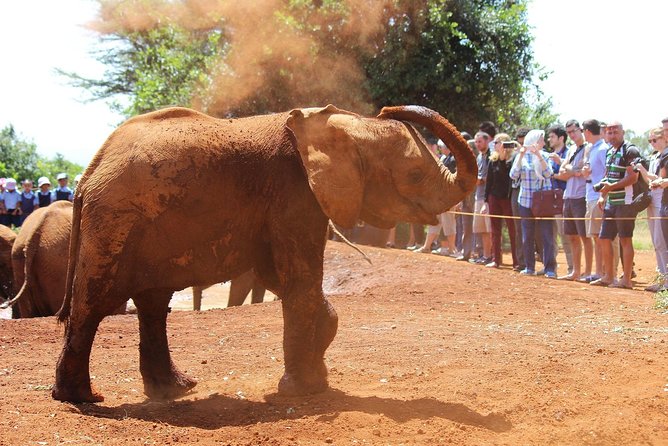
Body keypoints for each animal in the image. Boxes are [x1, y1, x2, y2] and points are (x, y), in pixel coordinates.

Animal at [52, 104, 476, 403]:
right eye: (415, 176)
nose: (389, 108)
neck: (344, 126)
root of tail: (88, 173)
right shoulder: (294, 192)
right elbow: (299, 278)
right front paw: (302, 390)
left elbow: (282, 276)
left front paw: (317, 370)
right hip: (116, 221)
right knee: (95, 302)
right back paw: (84, 398)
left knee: (153, 304)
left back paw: (175, 389)